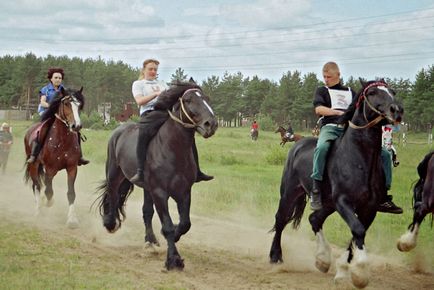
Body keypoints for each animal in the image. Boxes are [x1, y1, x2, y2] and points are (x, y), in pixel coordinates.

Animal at [23, 87, 85, 228]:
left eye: (79, 105)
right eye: (66, 104)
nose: (76, 126)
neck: (62, 140)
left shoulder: (72, 168)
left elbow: (71, 193)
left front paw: (72, 220)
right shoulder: (50, 169)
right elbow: (49, 192)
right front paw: (48, 202)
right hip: (33, 166)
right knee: (37, 186)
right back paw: (38, 211)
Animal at [95, 81, 217, 270]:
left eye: (207, 98)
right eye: (188, 100)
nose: (211, 124)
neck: (173, 150)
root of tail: (119, 130)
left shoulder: (183, 192)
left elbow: (185, 224)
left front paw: (175, 237)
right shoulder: (160, 193)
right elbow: (167, 225)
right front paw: (174, 260)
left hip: (147, 189)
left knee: (146, 212)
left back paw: (150, 241)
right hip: (115, 174)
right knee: (113, 195)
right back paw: (110, 224)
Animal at [268, 79, 404, 288]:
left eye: (393, 92)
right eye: (372, 93)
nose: (396, 110)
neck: (358, 159)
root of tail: (297, 145)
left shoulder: (369, 208)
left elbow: (357, 233)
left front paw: (343, 271)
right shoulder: (343, 202)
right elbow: (357, 230)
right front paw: (360, 273)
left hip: (328, 203)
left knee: (314, 219)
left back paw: (323, 259)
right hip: (290, 193)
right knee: (281, 219)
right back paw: (276, 256)